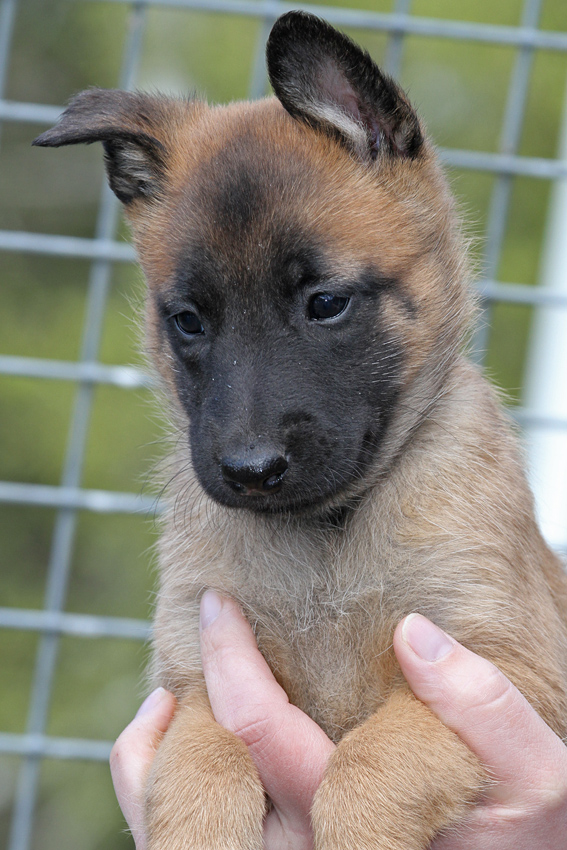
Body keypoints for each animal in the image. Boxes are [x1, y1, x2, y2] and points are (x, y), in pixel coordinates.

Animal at [34, 13, 567, 848]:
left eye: (324, 303)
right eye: (188, 322)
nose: (250, 470)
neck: (327, 540)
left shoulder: (508, 670)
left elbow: (369, 768)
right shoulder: (194, 688)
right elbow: (199, 774)